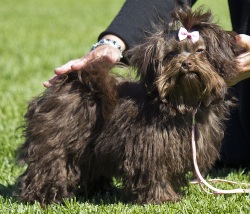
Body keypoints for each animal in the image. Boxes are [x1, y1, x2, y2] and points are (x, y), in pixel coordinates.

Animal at [15, 5, 244, 205]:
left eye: (200, 51)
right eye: (171, 54)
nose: (186, 63)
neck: (183, 102)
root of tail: (73, 83)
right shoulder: (151, 147)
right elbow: (155, 172)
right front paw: (162, 198)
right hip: (57, 140)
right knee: (50, 164)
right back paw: (44, 196)